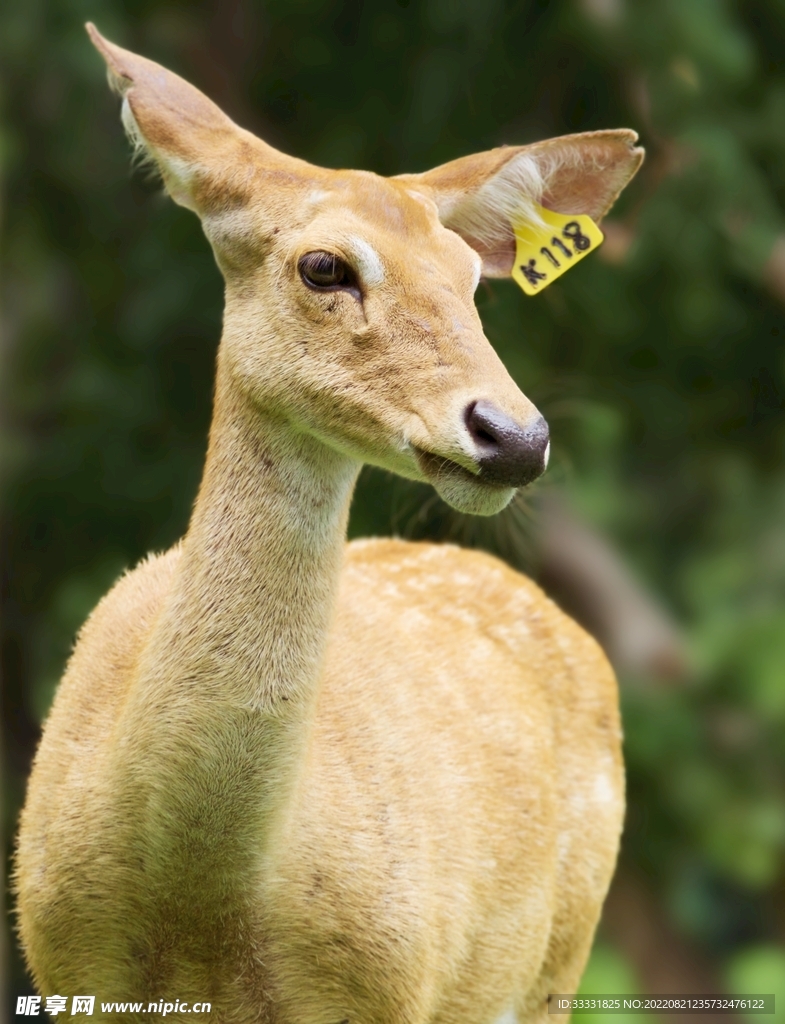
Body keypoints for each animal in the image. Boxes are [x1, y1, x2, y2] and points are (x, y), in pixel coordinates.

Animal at [14, 24, 643, 1024]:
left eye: (471, 280)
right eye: (324, 267)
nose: (514, 435)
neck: (197, 898)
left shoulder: (386, 989)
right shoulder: (63, 966)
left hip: (553, 966)